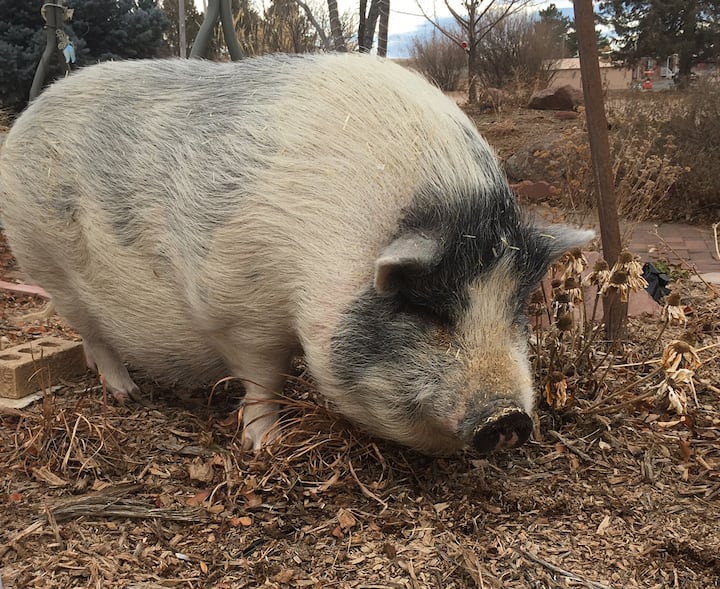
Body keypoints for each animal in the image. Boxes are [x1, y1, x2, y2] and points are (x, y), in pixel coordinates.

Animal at [0, 54, 593, 454]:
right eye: (424, 308)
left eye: (516, 309)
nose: (509, 419)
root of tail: (30, 111)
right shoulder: (236, 308)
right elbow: (263, 377)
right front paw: (265, 446)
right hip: (45, 263)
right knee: (92, 334)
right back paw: (126, 395)